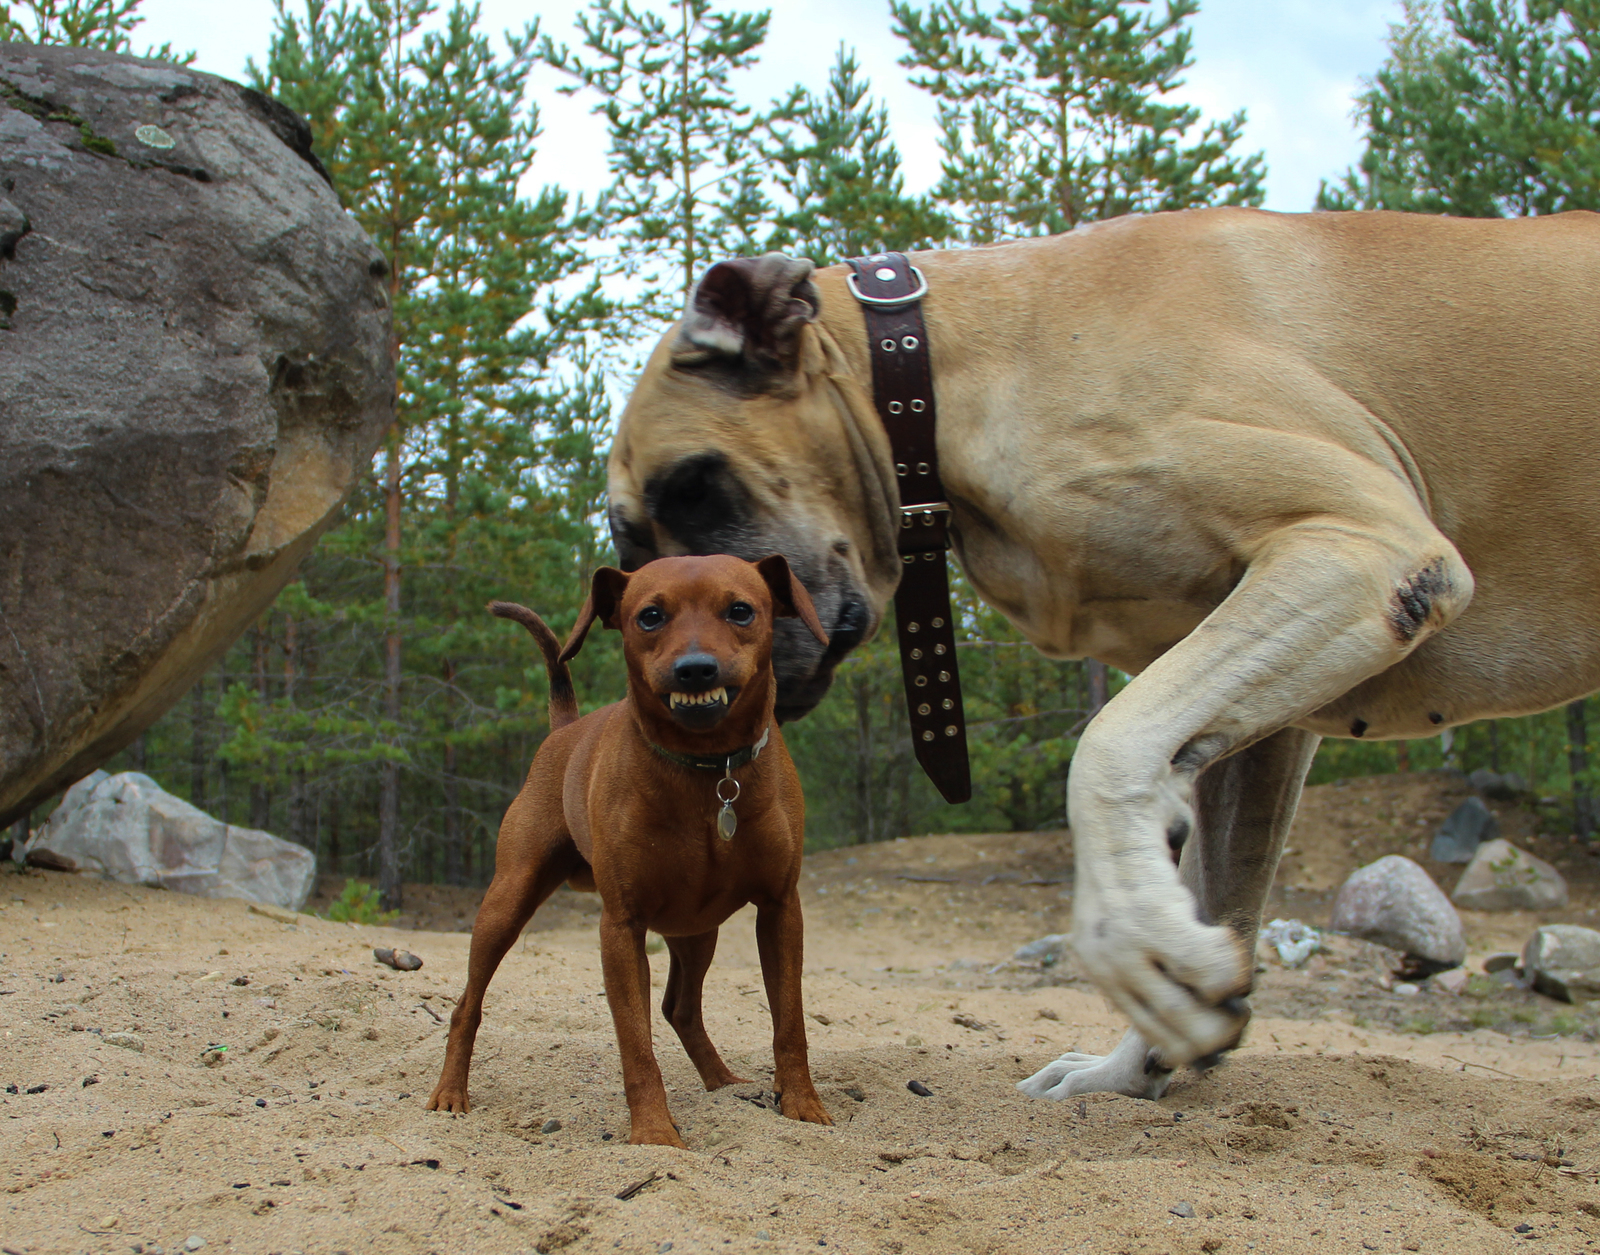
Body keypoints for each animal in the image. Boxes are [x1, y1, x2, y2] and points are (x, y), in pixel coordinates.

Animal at [425, 553, 838, 1139]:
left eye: (740, 611)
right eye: (650, 616)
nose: (695, 669)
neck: (707, 774)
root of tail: (565, 730)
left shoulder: (780, 909)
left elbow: (790, 1021)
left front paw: (801, 1102)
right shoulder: (621, 926)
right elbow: (635, 1044)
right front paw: (654, 1133)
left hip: (696, 929)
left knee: (680, 1009)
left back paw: (721, 1083)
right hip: (506, 902)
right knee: (468, 1004)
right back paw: (450, 1092)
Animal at [601, 208, 1600, 1101]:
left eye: (692, 485)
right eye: (633, 541)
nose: (686, 670)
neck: (950, 367)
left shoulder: (1361, 548)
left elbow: (1108, 750)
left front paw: (1140, 949)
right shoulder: (1261, 725)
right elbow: (1220, 883)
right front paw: (1140, 1052)